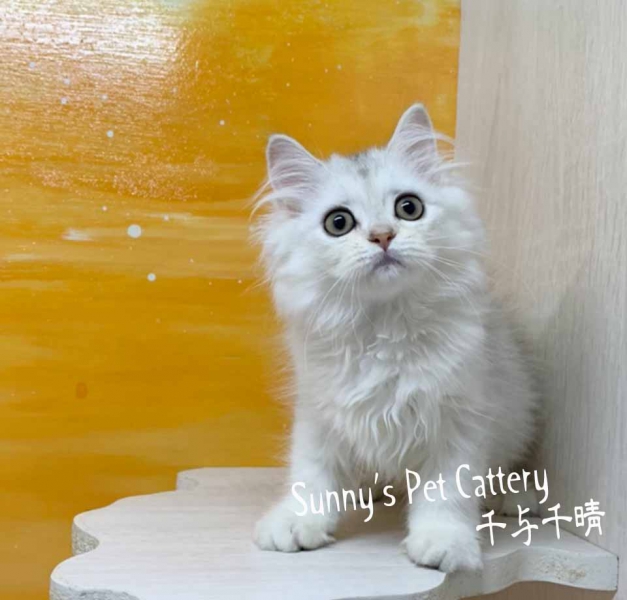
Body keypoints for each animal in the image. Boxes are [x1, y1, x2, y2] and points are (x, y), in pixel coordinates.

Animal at [251, 104, 538, 572]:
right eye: (338, 222)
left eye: (409, 207)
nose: (383, 235)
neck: (384, 327)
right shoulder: (320, 412)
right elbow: (311, 473)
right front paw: (296, 523)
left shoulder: (459, 417)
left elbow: (447, 492)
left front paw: (443, 543)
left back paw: (514, 499)